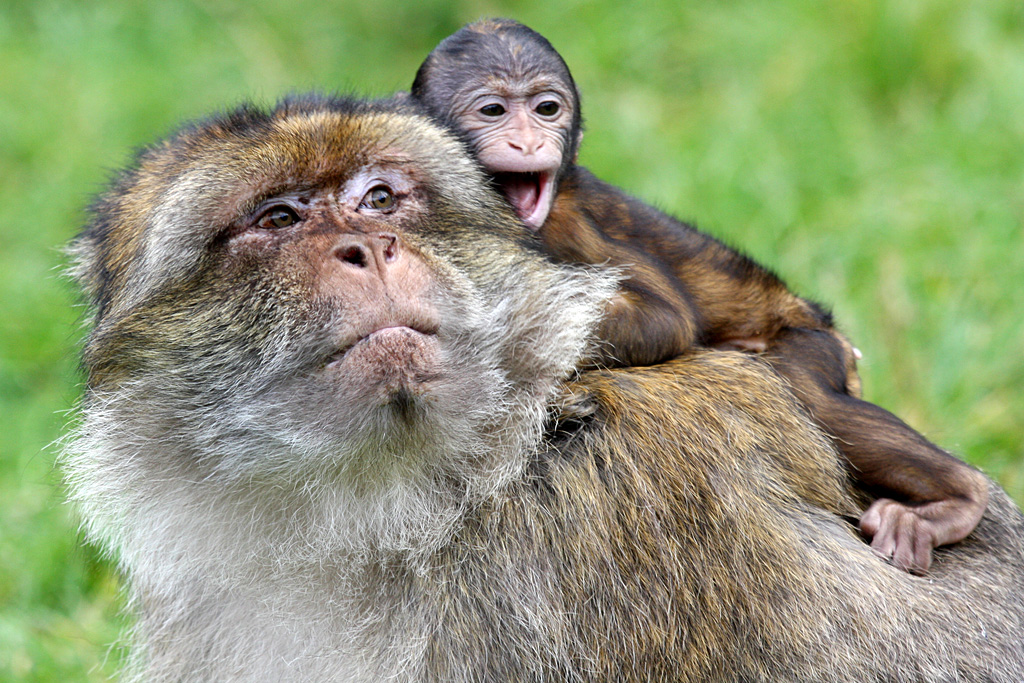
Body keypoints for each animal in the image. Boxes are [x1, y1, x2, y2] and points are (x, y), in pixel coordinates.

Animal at [410, 19, 989, 574]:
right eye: (493, 110)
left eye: (546, 108)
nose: (529, 141)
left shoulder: (569, 224)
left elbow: (663, 318)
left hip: (814, 341)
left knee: (811, 391)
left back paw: (958, 498)